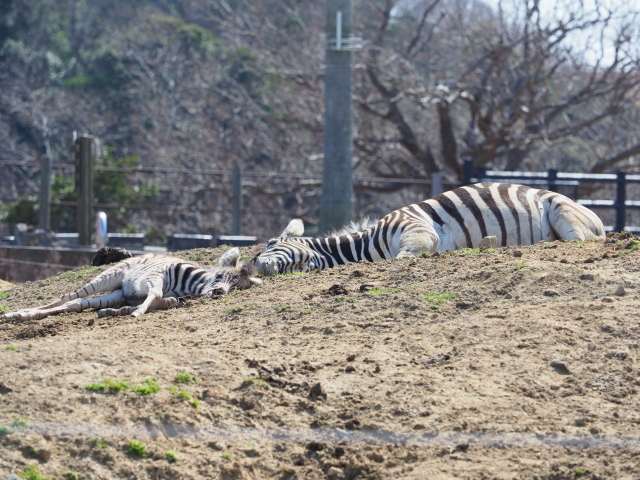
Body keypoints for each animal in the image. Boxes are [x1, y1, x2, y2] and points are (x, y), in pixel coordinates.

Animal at [4, 246, 260, 320]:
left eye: (234, 287)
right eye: (219, 277)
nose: (218, 292)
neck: (184, 284)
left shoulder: (169, 295)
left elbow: (166, 300)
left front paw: (130, 310)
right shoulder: (154, 277)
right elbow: (156, 294)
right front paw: (137, 312)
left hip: (115, 293)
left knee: (73, 304)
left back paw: (24, 315)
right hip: (108, 278)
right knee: (66, 297)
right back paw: (18, 312)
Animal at [252, 182, 604, 276]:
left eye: (269, 243)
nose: (256, 266)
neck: (368, 243)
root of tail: (594, 215)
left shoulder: (420, 232)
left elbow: (403, 258)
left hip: (562, 213)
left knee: (579, 242)